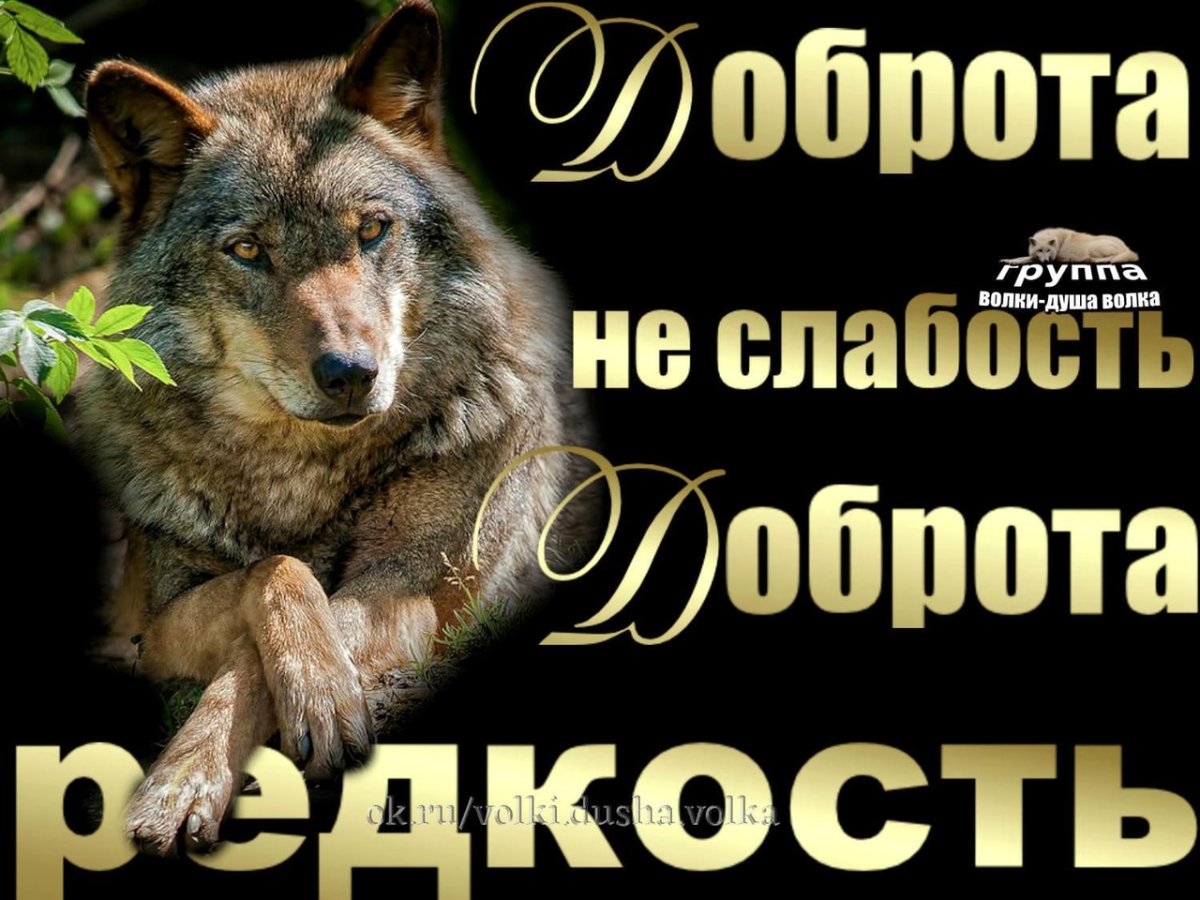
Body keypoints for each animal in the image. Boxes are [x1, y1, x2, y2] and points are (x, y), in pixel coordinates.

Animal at [79, 0, 581, 854]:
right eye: (248, 250)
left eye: (372, 230)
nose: (350, 372)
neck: (303, 479)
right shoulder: (163, 622)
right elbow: (277, 573)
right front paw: (187, 778)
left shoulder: (417, 588)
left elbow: (279, 631)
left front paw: (312, 704)